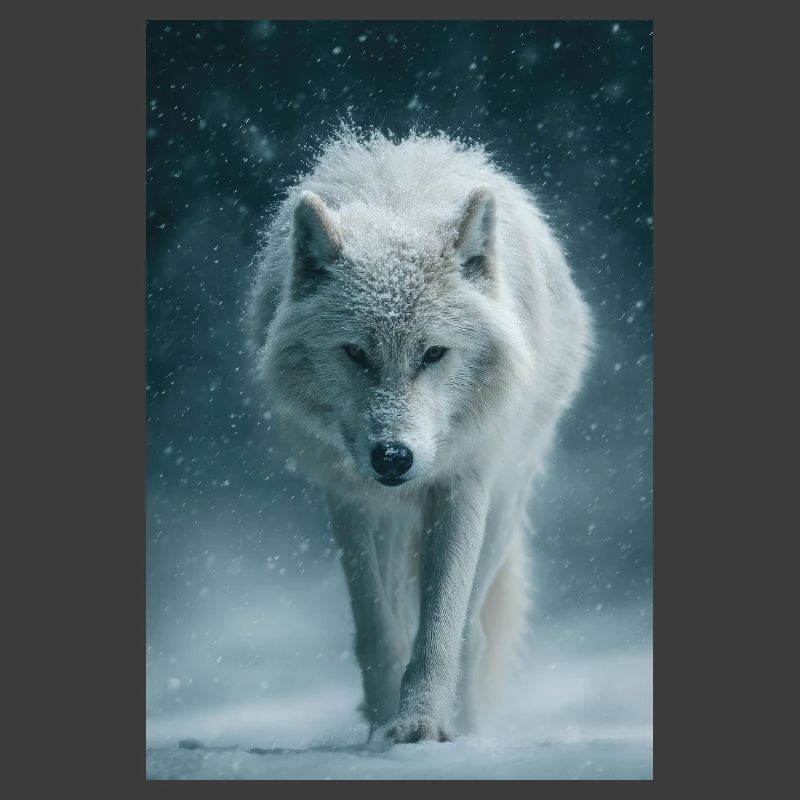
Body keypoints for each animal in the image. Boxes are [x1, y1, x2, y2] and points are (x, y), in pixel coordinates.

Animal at [247, 131, 592, 743]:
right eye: (355, 353)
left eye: (433, 353)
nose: (393, 458)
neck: (398, 206)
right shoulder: (350, 498)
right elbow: (377, 628)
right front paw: (384, 720)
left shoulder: (462, 483)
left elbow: (440, 628)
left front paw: (421, 724)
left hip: (505, 504)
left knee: (473, 631)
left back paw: (470, 725)